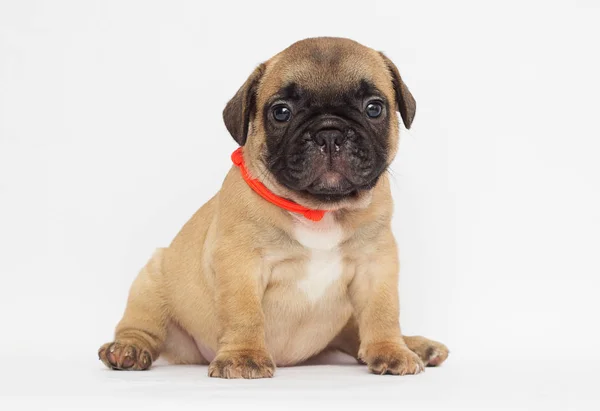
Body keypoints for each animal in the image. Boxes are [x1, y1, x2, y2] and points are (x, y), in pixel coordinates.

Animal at [98, 37, 448, 378]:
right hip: (152, 280)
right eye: (281, 112)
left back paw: (415, 345)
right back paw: (127, 349)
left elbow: (382, 311)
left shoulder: (376, 263)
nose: (329, 132)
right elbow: (245, 313)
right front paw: (243, 357)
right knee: (142, 325)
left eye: (374, 108)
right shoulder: (241, 263)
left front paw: (390, 351)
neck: (319, 210)